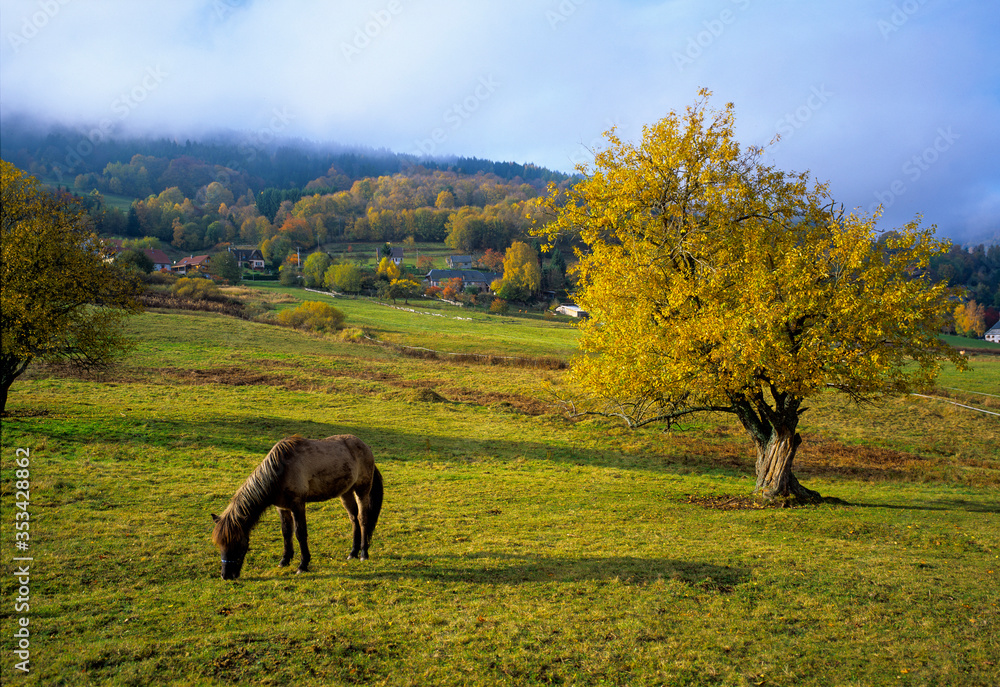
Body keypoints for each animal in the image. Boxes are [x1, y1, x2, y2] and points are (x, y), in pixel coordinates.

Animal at [211, 436, 382, 580]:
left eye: (236, 543)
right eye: (220, 544)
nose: (226, 576)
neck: (280, 470)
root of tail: (365, 446)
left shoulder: (297, 505)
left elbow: (300, 533)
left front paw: (303, 565)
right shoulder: (282, 508)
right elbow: (286, 533)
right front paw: (284, 560)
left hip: (362, 490)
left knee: (363, 519)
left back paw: (363, 553)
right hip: (346, 492)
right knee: (353, 519)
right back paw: (353, 553)